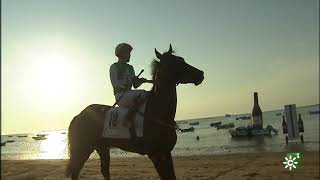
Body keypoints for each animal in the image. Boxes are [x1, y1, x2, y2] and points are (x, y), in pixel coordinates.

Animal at [66, 44, 204, 179]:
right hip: (82, 149)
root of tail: (78, 116)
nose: (201, 74)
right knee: (75, 171)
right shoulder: (156, 155)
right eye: (173, 63)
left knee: (104, 171)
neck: (157, 111)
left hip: (102, 148)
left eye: (182, 59)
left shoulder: (166, 153)